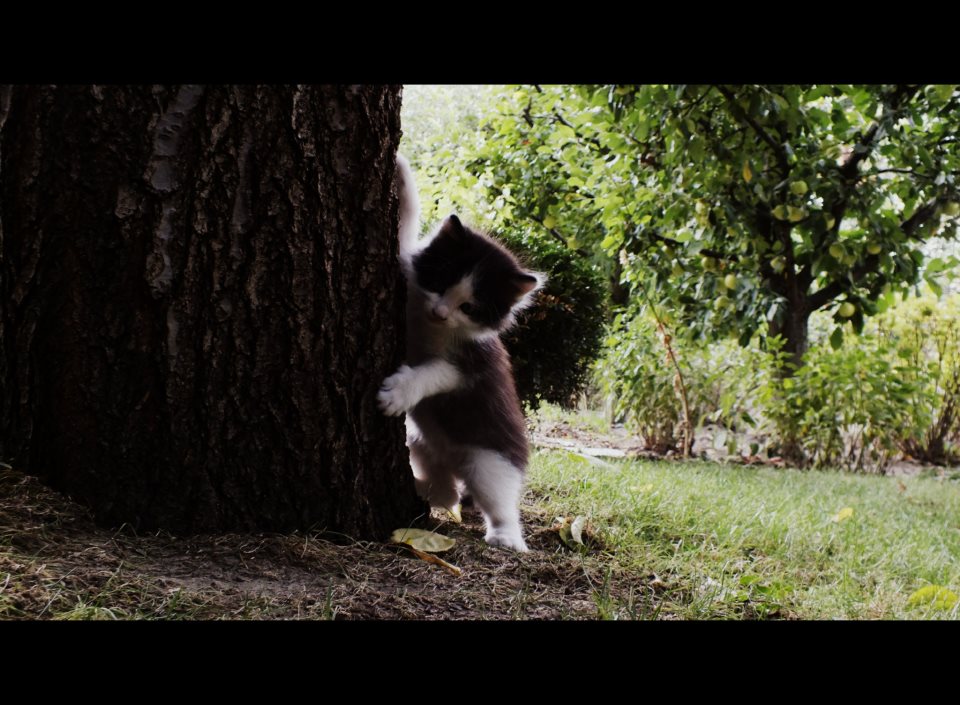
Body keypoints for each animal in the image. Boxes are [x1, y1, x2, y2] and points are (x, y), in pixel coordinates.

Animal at [377, 154, 543, 552]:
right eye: (440, 283)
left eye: (469, 308)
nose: (440, 313)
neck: (432, 327)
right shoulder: (406, 276)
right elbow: (406, 231)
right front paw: (402, 172)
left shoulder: (472, 367)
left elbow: (433, 371)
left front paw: (398, 393)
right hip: (421, 441)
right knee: (447, 493)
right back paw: (426, 489)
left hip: (490, 460)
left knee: (496, 496)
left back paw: (507, 536)